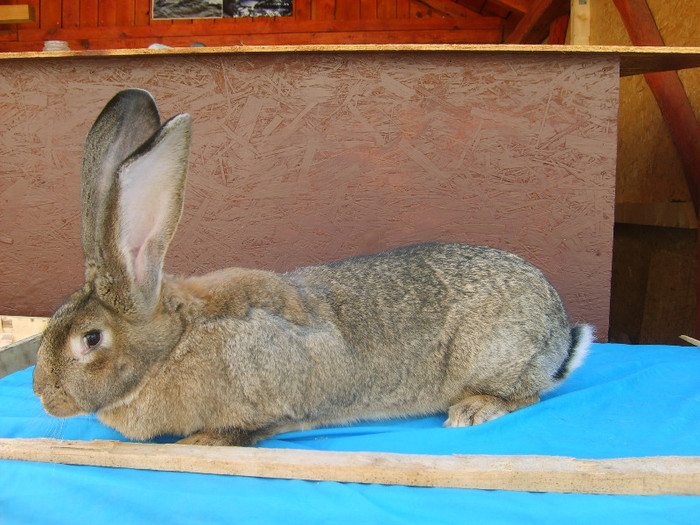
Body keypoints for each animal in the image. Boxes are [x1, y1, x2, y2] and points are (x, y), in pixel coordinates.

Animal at [31, 88, 592, 444]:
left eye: (91, 339)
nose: (42, 396)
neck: (175, 341)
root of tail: (559, 330)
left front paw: (199, 445)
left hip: (497, 355)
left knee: (527, 395)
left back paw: (473, 410)